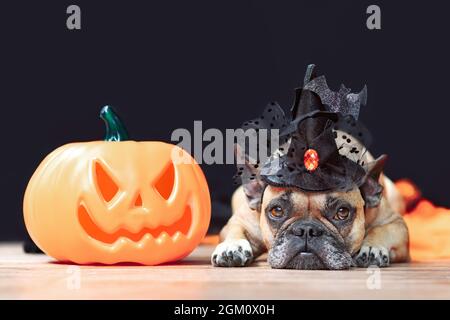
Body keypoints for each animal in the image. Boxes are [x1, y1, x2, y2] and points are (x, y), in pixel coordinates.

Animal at [211, 65, 408, 270]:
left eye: (342, 213)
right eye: (276, 211)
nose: (306, 229)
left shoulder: (396, 224)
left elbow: (382, 231)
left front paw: (371, 247)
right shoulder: (242, 220)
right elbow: (234, 229)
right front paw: (232, 246)